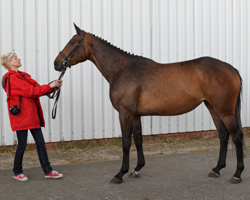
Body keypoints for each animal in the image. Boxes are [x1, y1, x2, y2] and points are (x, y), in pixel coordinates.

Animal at [53, 23, 243, 184]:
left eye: (72, 42)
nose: (56, 63)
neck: (121, 69)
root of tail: (232, 69)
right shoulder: (136, 114)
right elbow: (138, 140)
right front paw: (137, 169)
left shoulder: (125, 113)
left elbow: (126, 143)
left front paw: (120, 174)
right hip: (213, 108)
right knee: (223, 135)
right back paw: (217, 169)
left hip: (225, 111)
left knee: (237, 136)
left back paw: (237, 174)